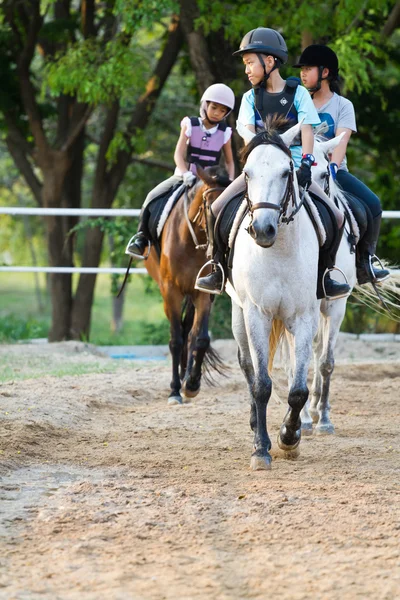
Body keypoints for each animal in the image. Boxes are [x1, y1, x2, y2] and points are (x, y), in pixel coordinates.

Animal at [145, 166, 230, 406]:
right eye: (212, 207)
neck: (191, 241)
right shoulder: (170, 292)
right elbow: (175, 340)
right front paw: (174, 390)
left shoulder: (203, 293)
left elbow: (200, 338)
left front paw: (192, 384)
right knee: (181, 333)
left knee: (190, 332)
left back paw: (186, 377)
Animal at [227, 119, 320, 472]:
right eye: (247, 173)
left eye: (285, 172)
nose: (262, 229)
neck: (277, 250)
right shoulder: (256, 314)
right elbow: (262, 384)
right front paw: (261, 450)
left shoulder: (305, 318)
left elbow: (298, 390)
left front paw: (289, 437)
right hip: (238, 314)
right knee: (249, 368)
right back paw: (257, 426)